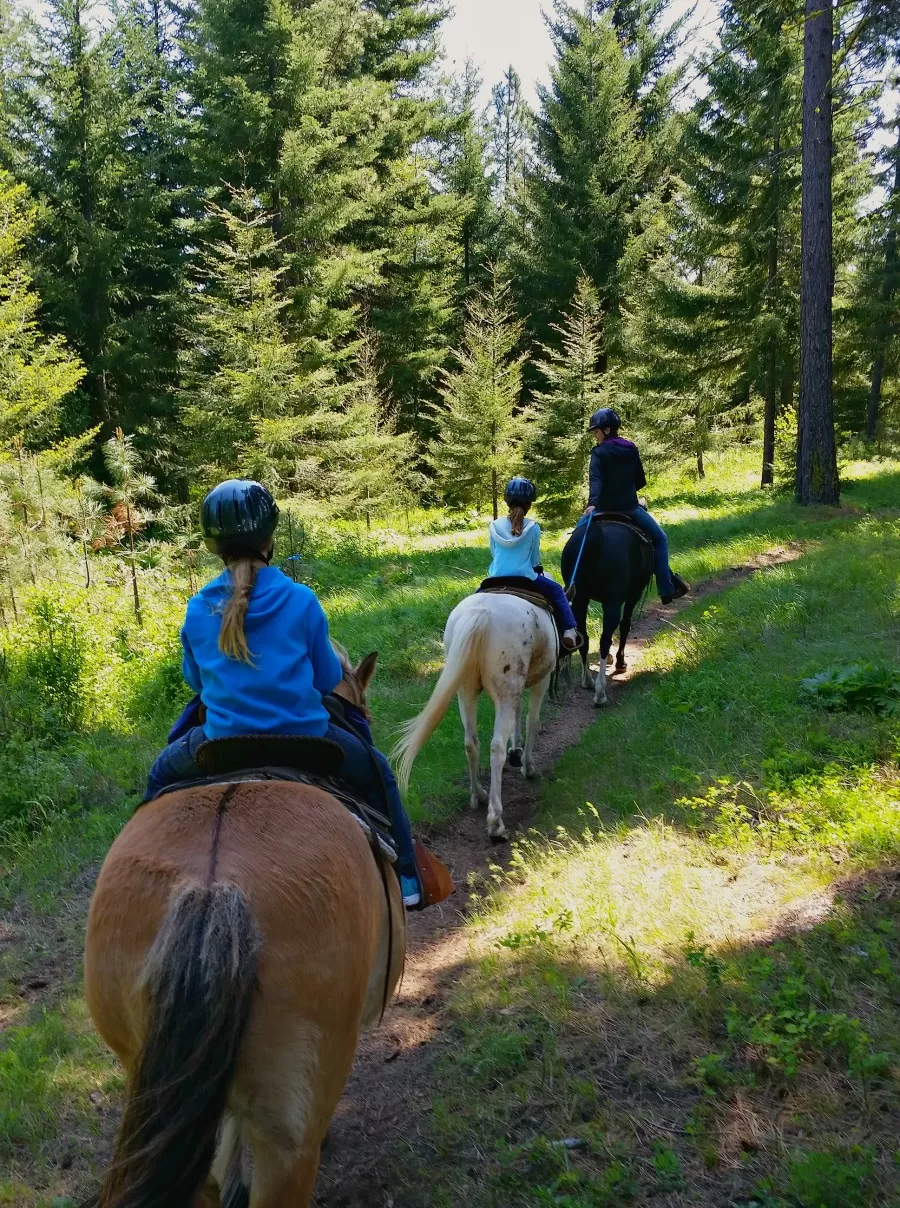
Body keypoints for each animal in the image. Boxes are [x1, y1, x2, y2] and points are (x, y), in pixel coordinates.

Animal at [393, 591, 555, 840]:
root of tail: (482, 613)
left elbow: (519, 715)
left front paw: (516, 751)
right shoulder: (542, 680)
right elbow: (532, 720)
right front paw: (527, 766)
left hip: (466, 691)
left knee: (471, 743)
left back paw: (478, 794)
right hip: (504, 691)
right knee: (496, 748)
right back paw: (495, 821)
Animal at [558, 514, 647, 705]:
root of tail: (595, 535)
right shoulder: (633, 595)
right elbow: (625, 625)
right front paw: (620, 662)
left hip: (580, 598)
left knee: (583, 636)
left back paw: (588, 681)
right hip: (613, 600)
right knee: (605, 640)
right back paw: (600, 692)